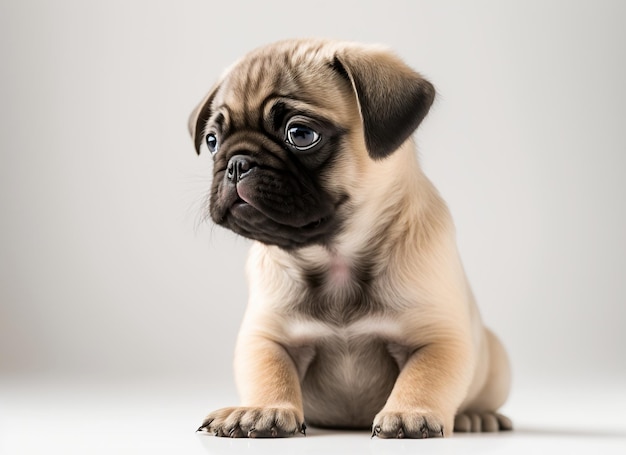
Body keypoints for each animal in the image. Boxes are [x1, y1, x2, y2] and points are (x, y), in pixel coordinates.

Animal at [188, 40, 510, 442]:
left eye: (301, 134)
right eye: (212, 142)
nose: (236, 164)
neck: (335, 255)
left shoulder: (440, 339)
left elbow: (424, 376)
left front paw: (409, 412)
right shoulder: (264, 337)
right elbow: (270, 371)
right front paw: (262, 409)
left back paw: (477, 416)